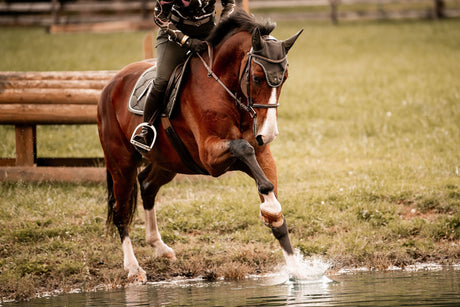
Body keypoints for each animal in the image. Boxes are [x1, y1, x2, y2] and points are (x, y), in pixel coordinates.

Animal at [97, 9, 302, 284]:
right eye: (257, 78)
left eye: (284, 79)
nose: (268, 134)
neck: (226, 89)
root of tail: (110, 85)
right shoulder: (211, 157)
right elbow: (243, 149)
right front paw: (269, 207)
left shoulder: (262, 153)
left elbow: (272, 199)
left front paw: (298, 270)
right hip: (121, 164)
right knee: (121, 211)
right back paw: (133, 268)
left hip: (167, 161)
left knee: (147, 186)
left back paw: (159, 246)